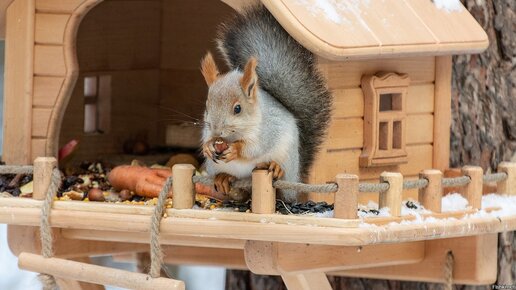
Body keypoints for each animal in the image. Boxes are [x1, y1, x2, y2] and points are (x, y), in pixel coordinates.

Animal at [200, 3, 332, 202]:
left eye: (237, 109)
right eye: (207, 107)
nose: (217, 133)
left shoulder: (268, 129)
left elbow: (254, 148)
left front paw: (236, 149)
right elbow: (206, 138)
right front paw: (208, 146)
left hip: (286, 161)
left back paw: (275, 168)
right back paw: (224, 179)